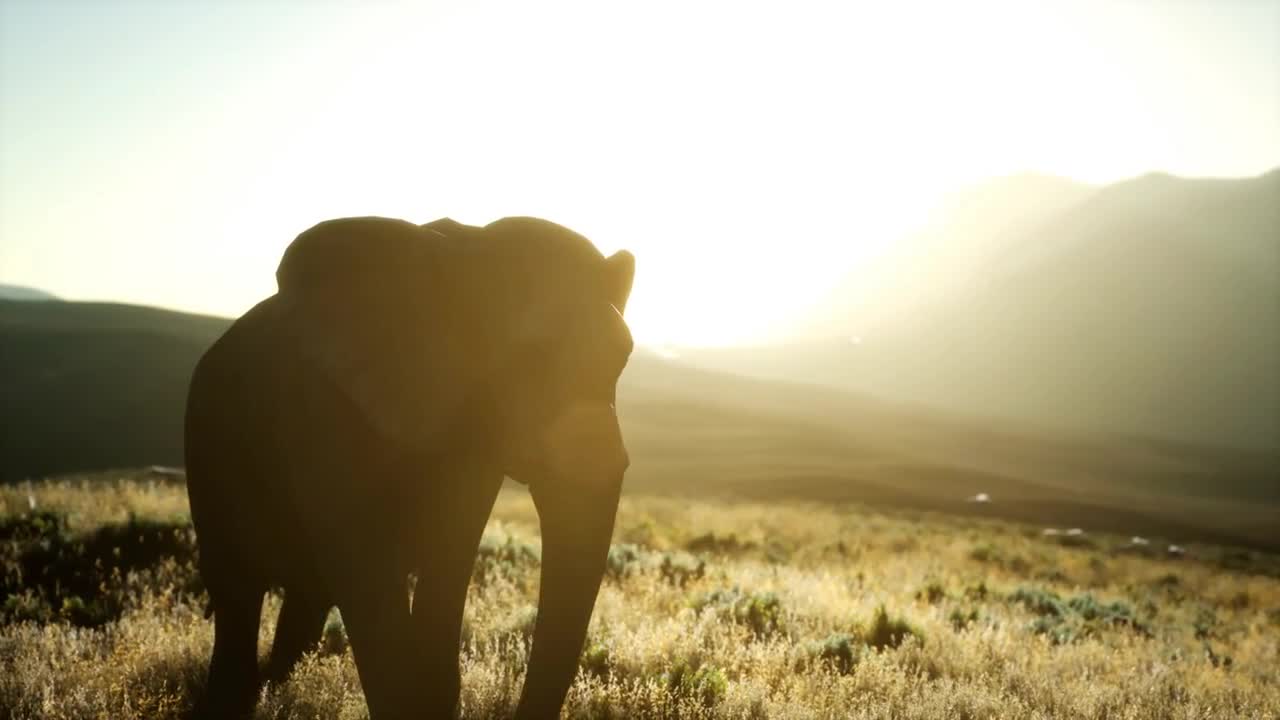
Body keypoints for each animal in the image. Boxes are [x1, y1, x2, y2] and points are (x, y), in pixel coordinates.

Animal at [183, 213, 637, 717]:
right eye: (528, 358)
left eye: (623, 359)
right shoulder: (322, 405)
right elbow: (365, 566)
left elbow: (449, 551)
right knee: (238, 591)